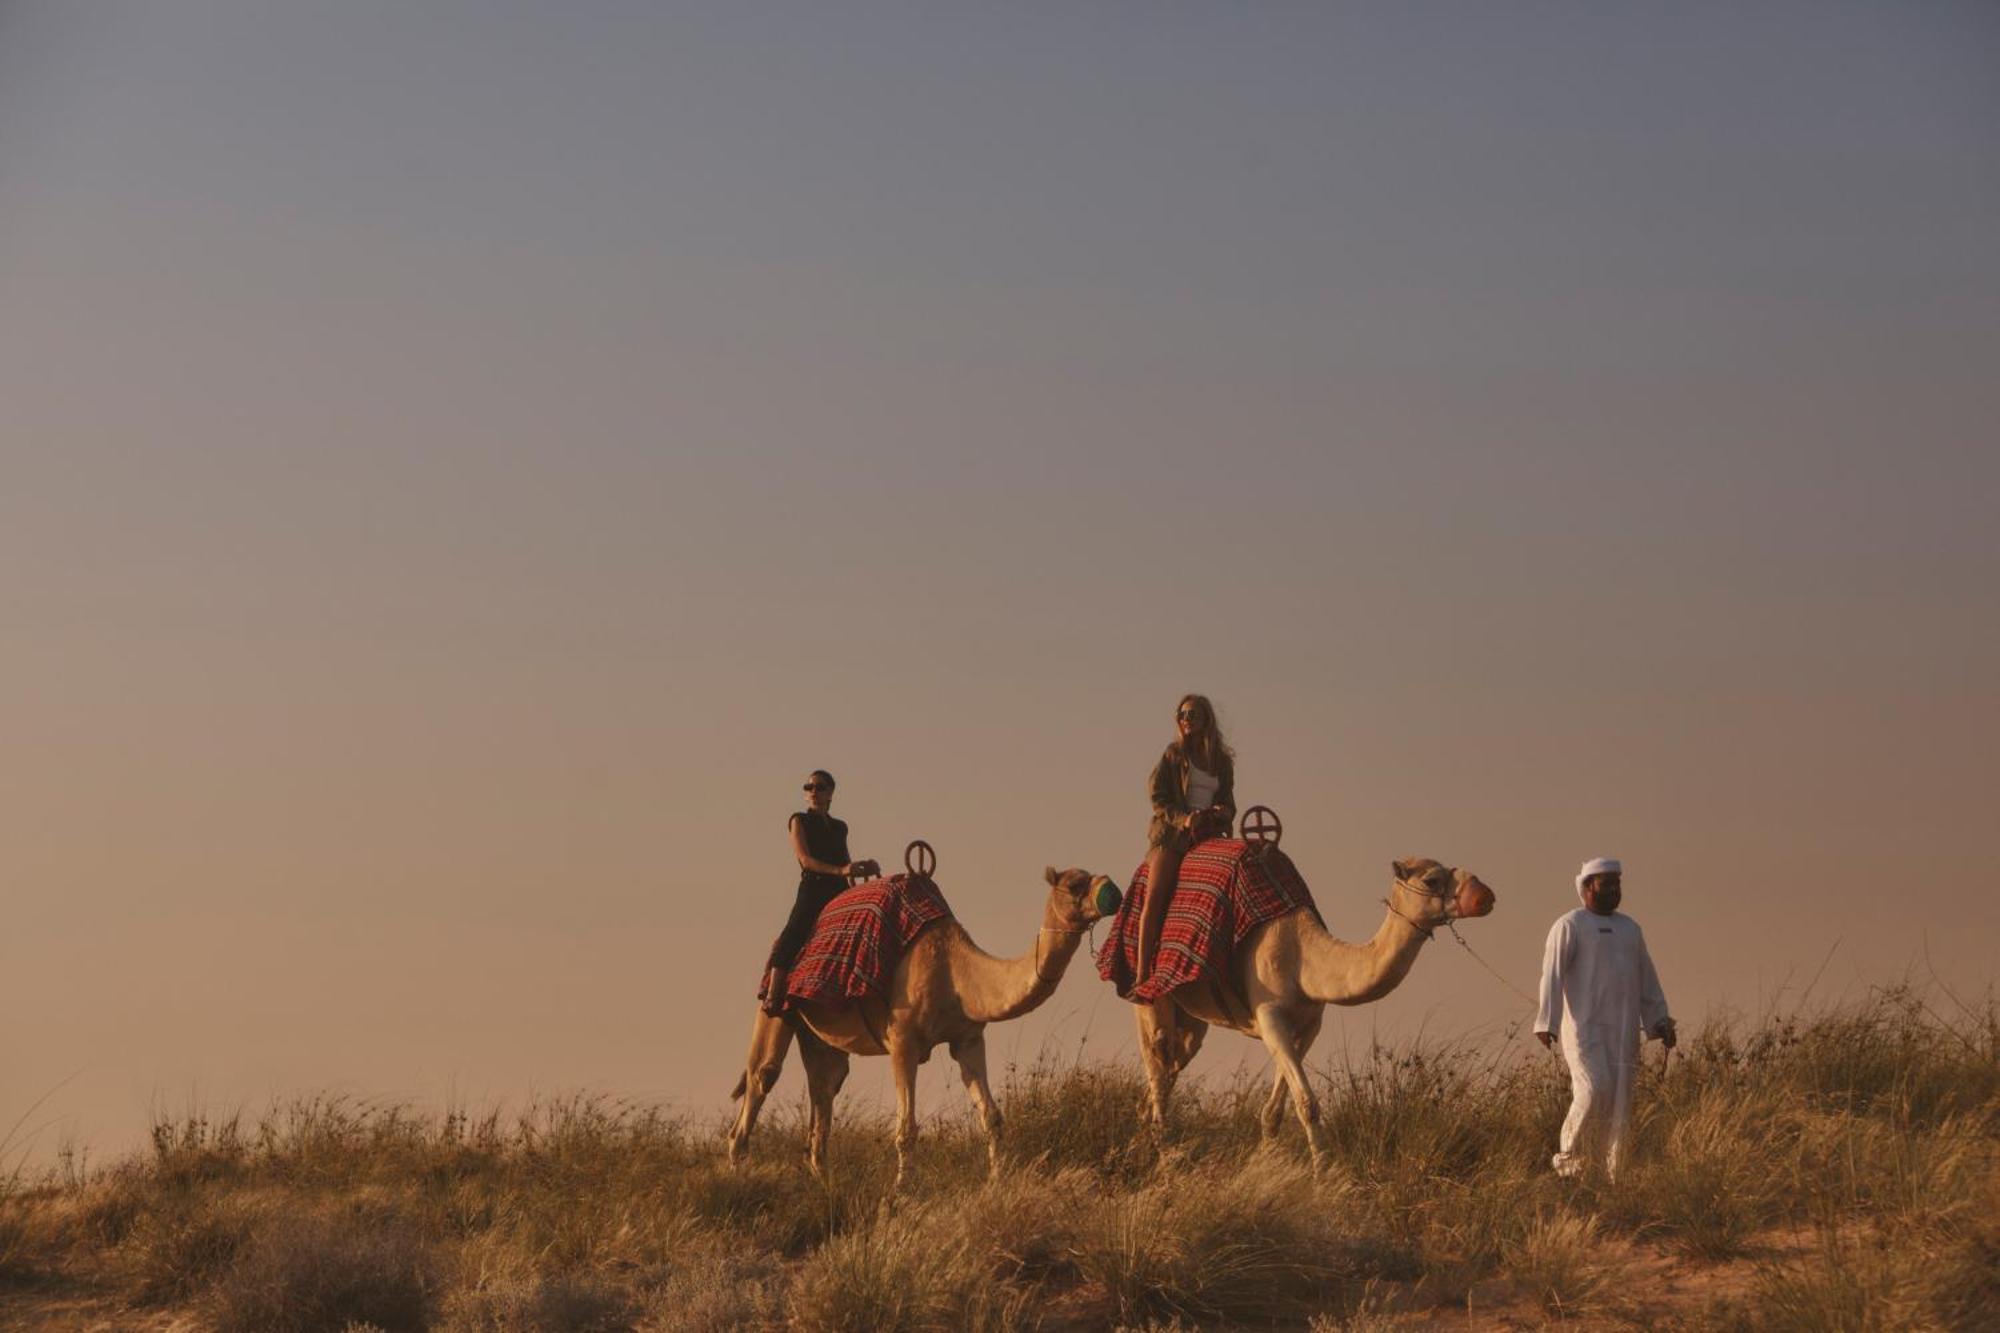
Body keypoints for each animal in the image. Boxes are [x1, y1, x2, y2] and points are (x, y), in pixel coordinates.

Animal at [728, 860, 1120, 1184]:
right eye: (1075, 884)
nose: (1112, 890)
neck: (957, 972)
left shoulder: (967, 1038)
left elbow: (991, 1116)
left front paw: (998, 1179)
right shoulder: (903, 1040)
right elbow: (907, 1129)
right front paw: (903, 1188)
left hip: (820, 1037)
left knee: (826, 1086)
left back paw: (822, 1183)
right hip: (776, 1007)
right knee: (762, 1076)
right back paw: (738, 1176)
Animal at [1136, 856, 1496, 1160]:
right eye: (1432, 880)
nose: (1486, 895)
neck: (1304, 959)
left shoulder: (1309, 1024)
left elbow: (1274, 1111)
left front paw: (1268, 1162)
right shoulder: (1270, 1018)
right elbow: (1307, 1103)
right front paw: (1323, 1177)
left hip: (1193, 1018)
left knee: (1172, 1065)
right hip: (1150, 996)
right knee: (1158, 1060)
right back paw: (1166, 1160)